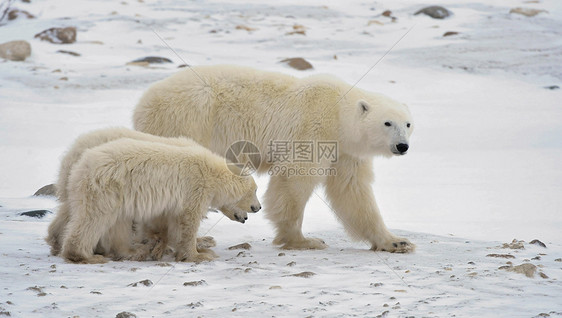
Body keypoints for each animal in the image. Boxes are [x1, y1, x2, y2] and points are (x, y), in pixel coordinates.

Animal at [131, 64, 412, 253]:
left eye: (408, 124)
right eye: (387, 123)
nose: (402, 146)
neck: (338, 114)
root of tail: (143, 104)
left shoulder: (346, 152)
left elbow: (352, 192)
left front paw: (396, 241)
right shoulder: (313, 131)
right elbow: (294, 181)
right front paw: (304, 240)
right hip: (188, 121)